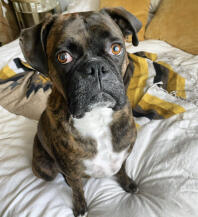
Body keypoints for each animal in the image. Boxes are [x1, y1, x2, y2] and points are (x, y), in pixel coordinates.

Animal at [19, 7, 141, 217]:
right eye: (63, 57)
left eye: (116, 48)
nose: (96, 67)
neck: (97, 117)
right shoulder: (72, 171)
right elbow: (77, 189)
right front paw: (81, 207)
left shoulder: (123, 153)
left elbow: (122, 169)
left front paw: (127, 183)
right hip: (45, 169)